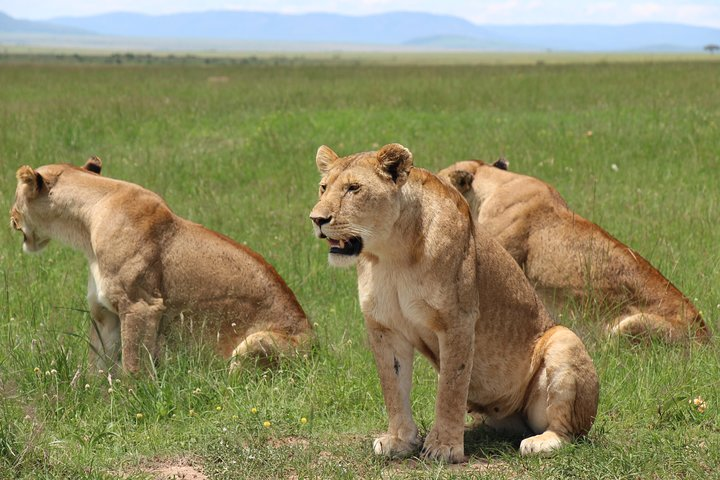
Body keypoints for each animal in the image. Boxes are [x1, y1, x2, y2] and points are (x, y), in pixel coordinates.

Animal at [10, 157, 312, 374]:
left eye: (15, 196)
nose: (10, 216)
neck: (83, 227)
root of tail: (318, 347)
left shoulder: (140, 305)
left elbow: (133, 366)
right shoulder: (105, 313)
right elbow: (96, 366)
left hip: (255, 342)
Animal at [309, 144, 599, 461]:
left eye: (353, 188)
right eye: (323, 188)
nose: (317, 219)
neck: (391, 254)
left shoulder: (457, 322)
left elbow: (451, 387)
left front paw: (444, 447)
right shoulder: (385, 328)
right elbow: (392, 387)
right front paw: (399, 441)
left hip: (564, 340)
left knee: (568, 431)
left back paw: (541, 442)